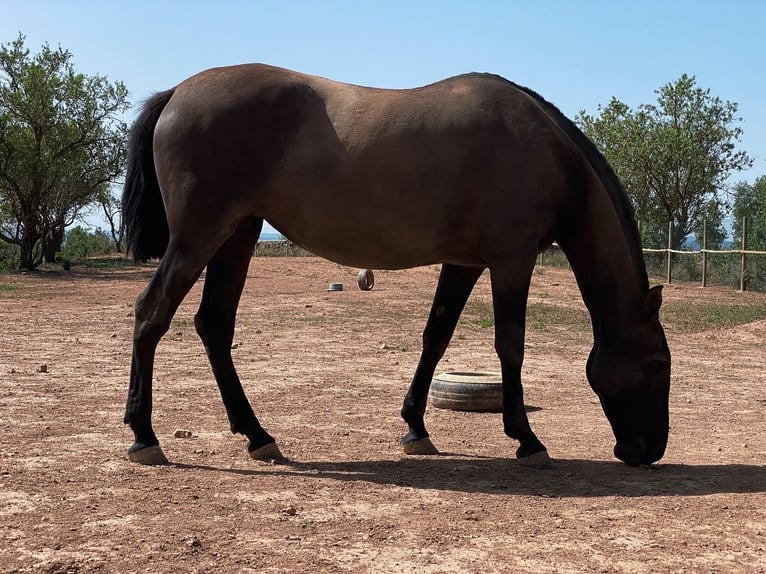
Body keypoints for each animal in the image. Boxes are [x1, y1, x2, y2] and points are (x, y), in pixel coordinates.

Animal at [121, 64, 672, 468]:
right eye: (660, 363)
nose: (649, 451)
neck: (547, 152)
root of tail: (177, 93)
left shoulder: (464, 263)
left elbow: (437, 337)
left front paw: (416, 428)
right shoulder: (511, 261)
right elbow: (510, 346)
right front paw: (526, 438)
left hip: (238, 235)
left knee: (213, 325)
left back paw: (257, 436)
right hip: (199, 237)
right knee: (151, 313)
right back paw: (145, 436)